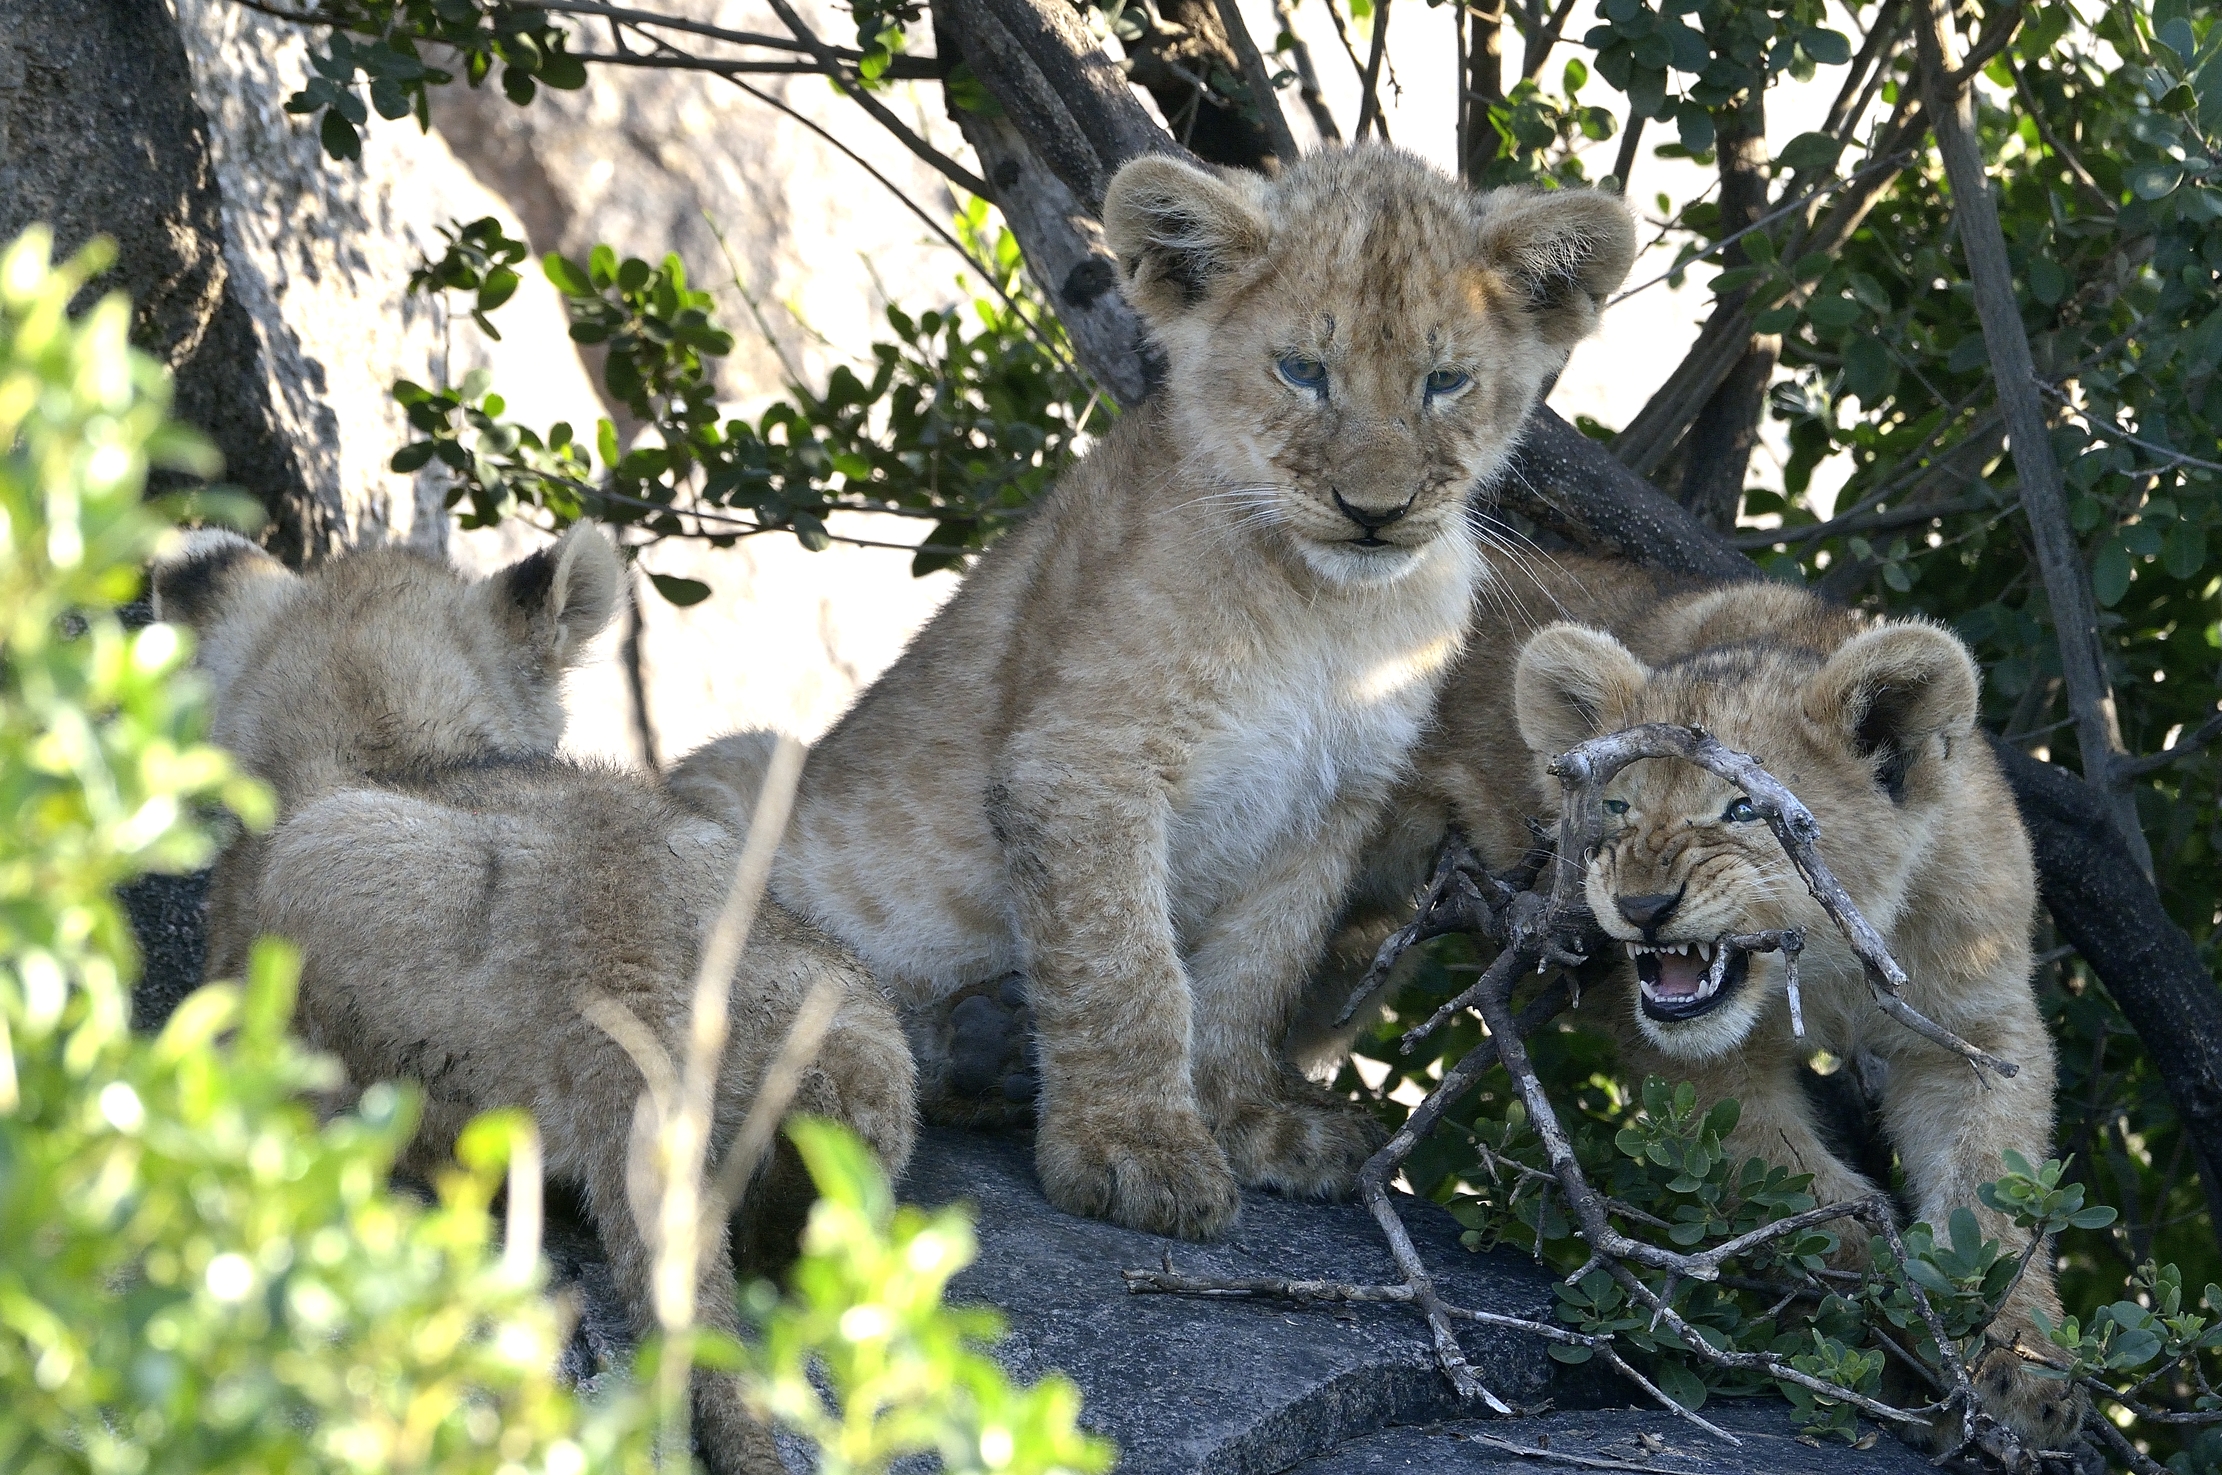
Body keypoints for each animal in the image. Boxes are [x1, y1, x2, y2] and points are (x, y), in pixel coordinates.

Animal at [676, 144, 1636, 1240]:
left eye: (1444, 383)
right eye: (1301, 371)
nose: (1374, 511)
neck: (1331, 615)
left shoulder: (1332, 801)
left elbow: (1256, 972)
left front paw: (1252, 1120)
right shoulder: (1082, 764)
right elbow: (1123, 968)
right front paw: (1133, 1150)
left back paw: (987, 1044)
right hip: (738, 774)